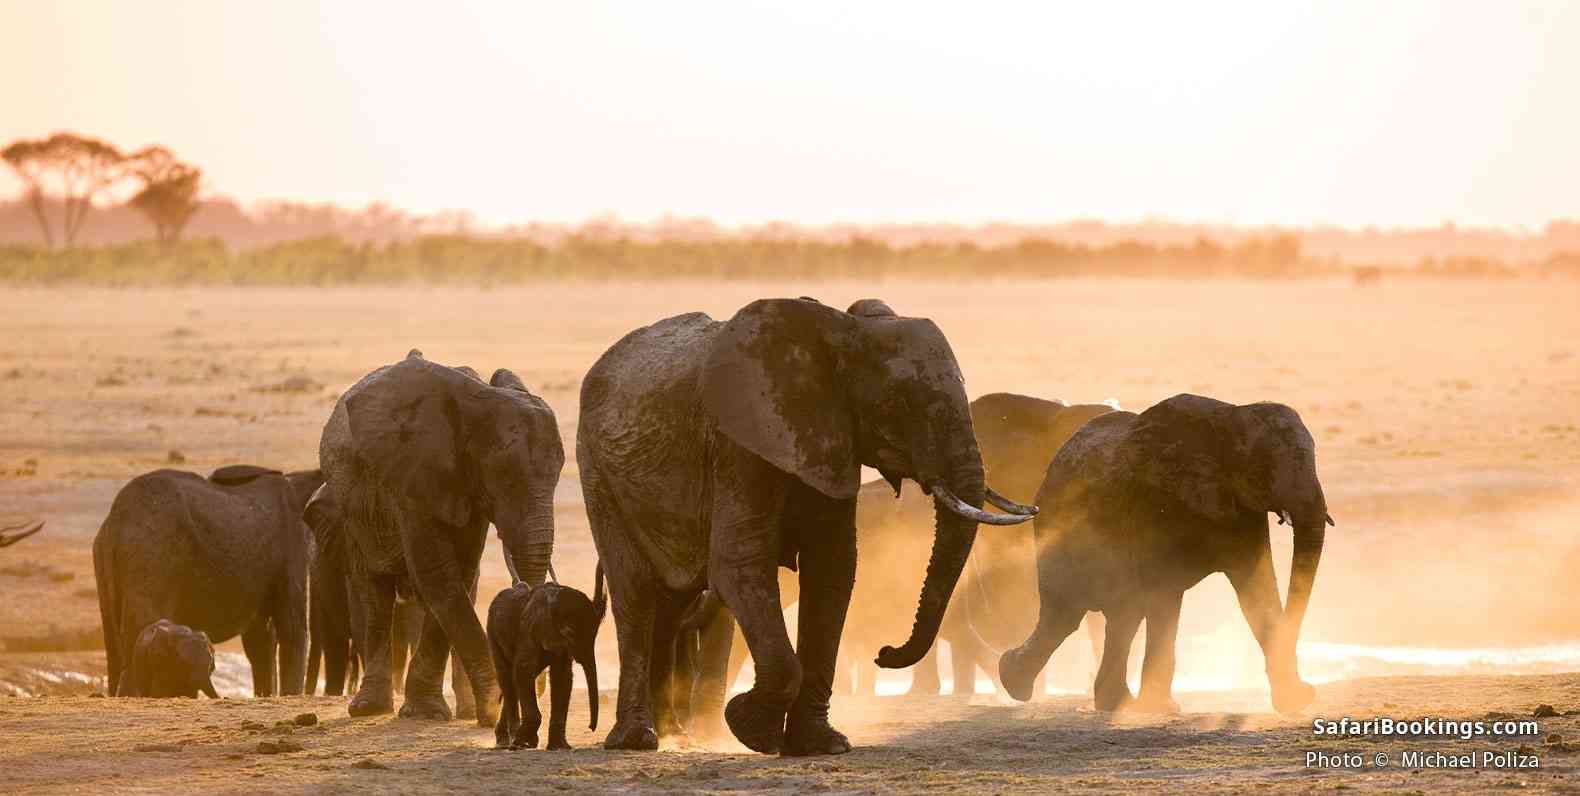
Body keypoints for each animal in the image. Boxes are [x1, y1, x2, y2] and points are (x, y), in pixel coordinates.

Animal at [93, 467, 323, 694]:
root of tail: (116, 521)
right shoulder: (293, 548)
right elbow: (292, 629)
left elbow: (261, 638)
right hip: (151, 553)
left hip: (108, 562)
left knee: (115, 648)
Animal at [312, 350, 562, 723]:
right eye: (503, 477)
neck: (475, 403)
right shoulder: (410, 476)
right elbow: (438, 574)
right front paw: (491, 707)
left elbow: (460, 570)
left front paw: (445, 711)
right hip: (351, 510)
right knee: (374, 592)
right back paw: (369, 708)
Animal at [486, 568, 603, 748]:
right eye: (569, 633)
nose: (591, 727)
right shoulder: (529, 630)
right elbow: (523, 669)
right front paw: (522, 742)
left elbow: (562, 677)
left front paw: (560, 746)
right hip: (492, 633)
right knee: (507, 678)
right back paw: (512, 742)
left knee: (515, 682)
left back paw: (511, 740)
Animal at [581, 296, 1036, 751]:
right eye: (901, 404)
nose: (885, 652)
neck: (840, 335)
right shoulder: (740, 445)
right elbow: (739, 564)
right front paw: (750, 726)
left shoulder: (832, 442)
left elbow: (833, 568)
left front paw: (820, 744)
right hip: (598, 473)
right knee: (637, 594)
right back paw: (636, 739)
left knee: (673, 601)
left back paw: (674, 735)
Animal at [998, 394, 1333, 710]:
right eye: (1263, 468)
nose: (1307, 686)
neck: (1230, 417)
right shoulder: (1156, 504)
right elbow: (1164, 592)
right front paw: (1158, 708)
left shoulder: (1241, 511)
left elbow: (1256, 585)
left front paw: (1295, 701)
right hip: (1056, 524)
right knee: (1072, 613)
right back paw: (1016, 681)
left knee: (1120, 615)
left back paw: (1107, 701)